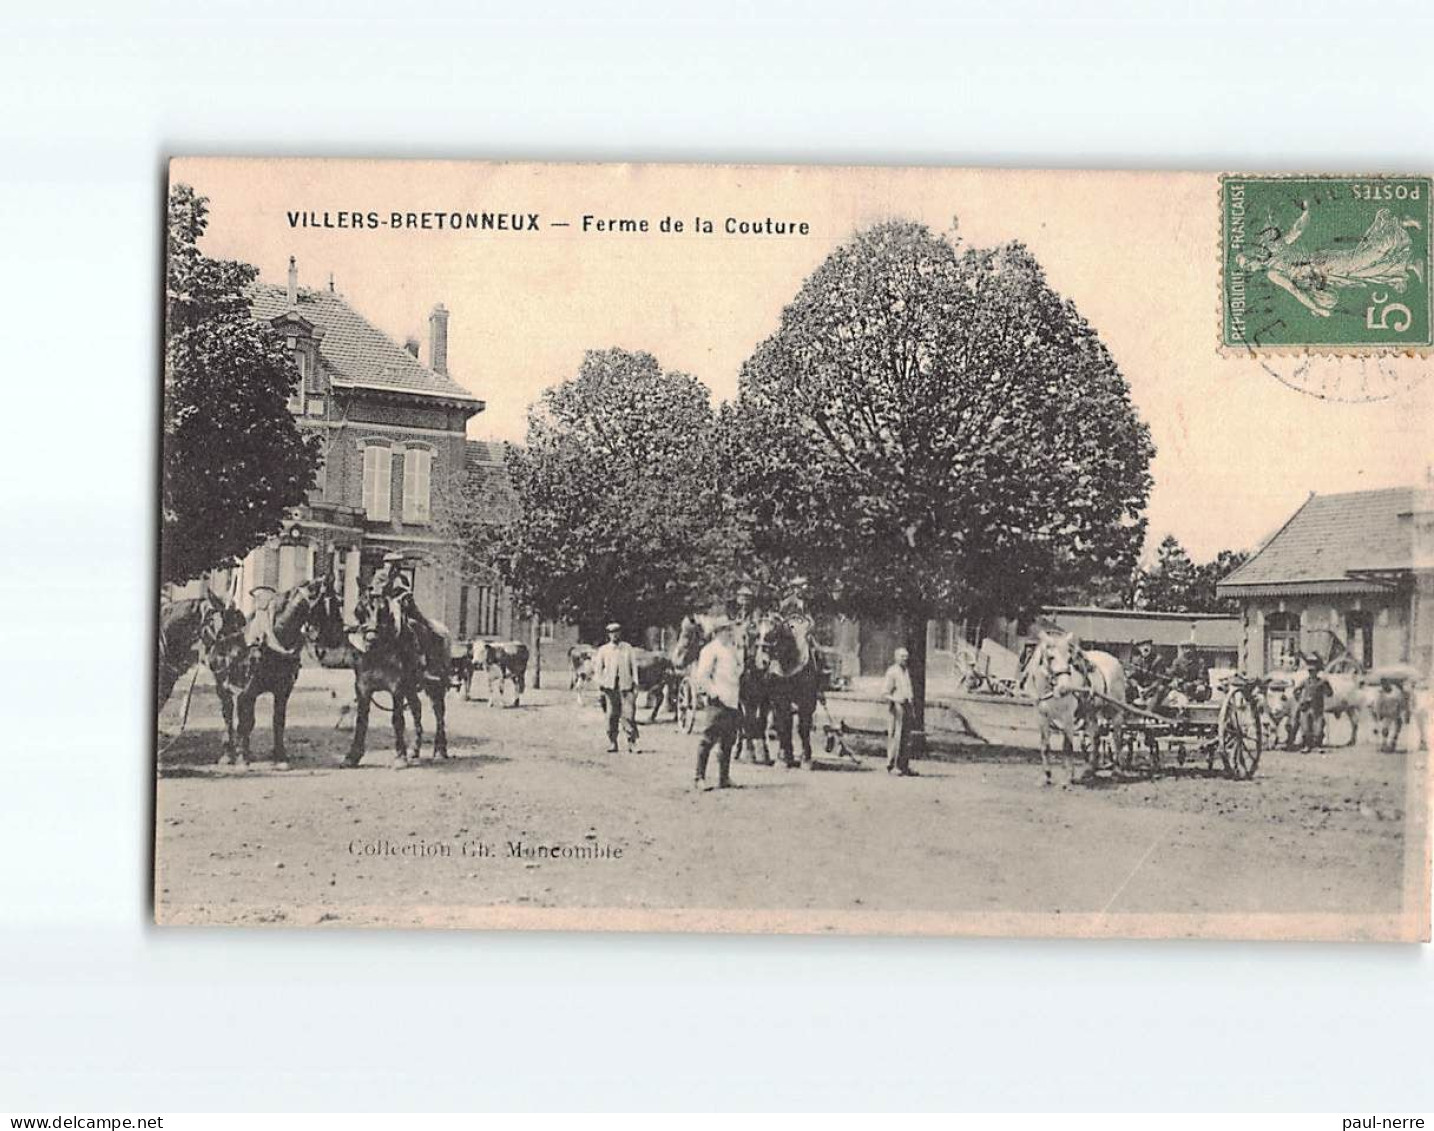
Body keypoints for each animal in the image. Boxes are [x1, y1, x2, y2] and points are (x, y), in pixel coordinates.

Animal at [206, 579, 339, 774]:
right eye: (330, 603)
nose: (335, 639)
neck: (273, 639)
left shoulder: (283, 691)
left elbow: (278, 722)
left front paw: (280, 758)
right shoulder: (247, 692)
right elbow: (245, 723)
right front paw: (242, 760)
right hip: (222, 688)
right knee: (228, 716)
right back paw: (228, 754)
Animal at [751, 616, 820, 768]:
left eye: (773, 634)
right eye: (757, 634)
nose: (761, 662)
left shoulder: (807, 701)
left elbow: (803, 727)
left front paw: (806, 758)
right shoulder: (779, 699)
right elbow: (783, 725)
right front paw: (782, 758)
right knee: (767, 722)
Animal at [1021, 627, 1129, 785]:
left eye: (1069, 659)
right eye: (1051, 657)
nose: (1065, 688)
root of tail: (1114, 659)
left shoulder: (1067, 716)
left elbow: (1067, 746)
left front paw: (1068, 778)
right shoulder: (1041, 716)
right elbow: (1045, 746)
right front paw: (1046, 776)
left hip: (1116, 711)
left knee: (1117, 738)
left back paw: (1117, 771)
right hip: (1091, 712)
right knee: (1095, 737)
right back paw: (1090, 770)